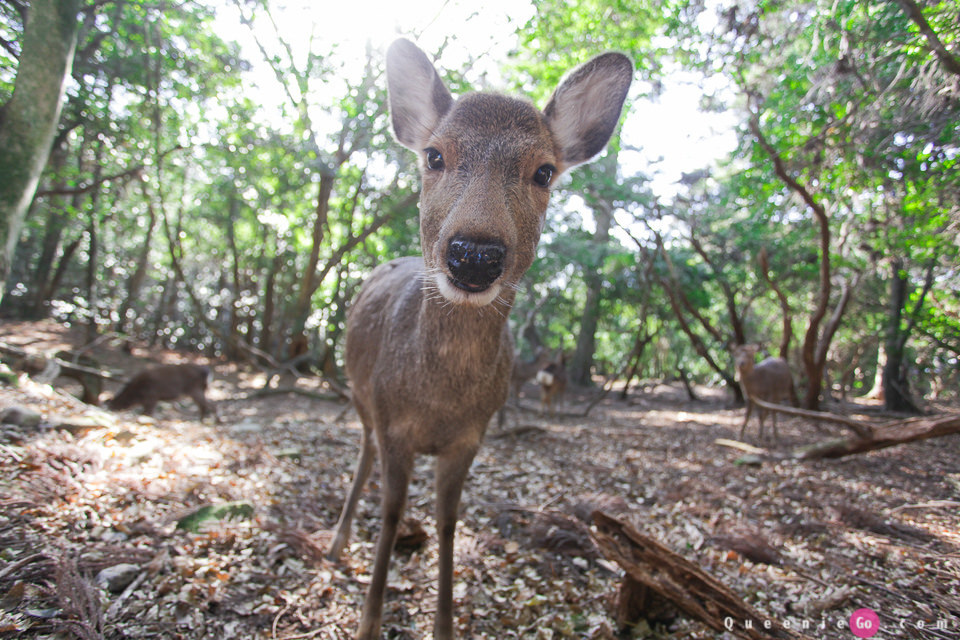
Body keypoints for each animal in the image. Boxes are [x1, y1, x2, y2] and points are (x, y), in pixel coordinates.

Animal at [326, 38, 632, 640]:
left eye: (544, 171)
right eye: (434, 156)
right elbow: (390, 514)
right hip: (360, 395)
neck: (439, 399)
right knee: (362, 453)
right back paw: (337, 539)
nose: (474, 254)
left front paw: (444, 624)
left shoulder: (471, 438)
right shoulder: (394, 425)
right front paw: (369, 621)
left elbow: (448, 523)